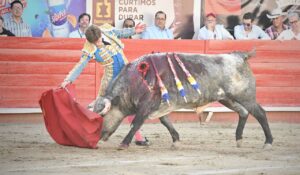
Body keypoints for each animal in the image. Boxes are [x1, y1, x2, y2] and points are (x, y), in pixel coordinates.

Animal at [94, 50, 274, 149]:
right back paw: (238, 139)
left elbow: (135, 123)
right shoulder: (160, 106)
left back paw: (268, 142)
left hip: (245, 96)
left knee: (260, 113)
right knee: (243, 112)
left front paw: (124, 143)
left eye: (102, 115)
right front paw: (176, 141)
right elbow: (166, 122)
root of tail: (238, 56)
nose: (99, 137)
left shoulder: (146, 106)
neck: (136, 80)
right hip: (227, 98)